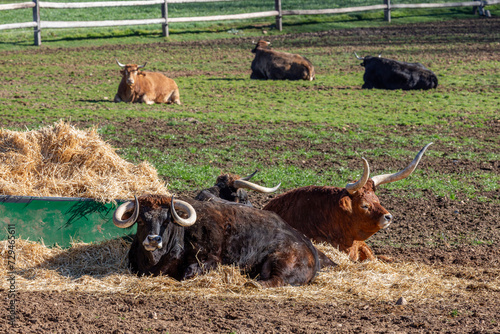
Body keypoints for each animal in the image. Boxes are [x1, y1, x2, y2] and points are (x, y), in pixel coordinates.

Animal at [113, 194, 322, 288]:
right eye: (141, 220)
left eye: (166, 220)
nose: (153, 239)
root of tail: (308, 248)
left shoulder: (210, 261)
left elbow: (187, 273)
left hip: (280, 260)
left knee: (276, 280)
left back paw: (253, 283)